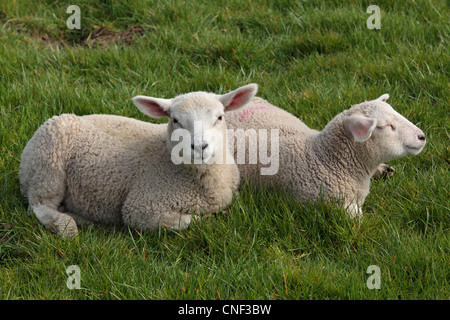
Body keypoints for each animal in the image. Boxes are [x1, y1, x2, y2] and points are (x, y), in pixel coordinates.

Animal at [19, 84, 258, 236]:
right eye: (175, 120)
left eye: (220, 117)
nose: (199, 147)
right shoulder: (141, 206)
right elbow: (183, 222)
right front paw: (210, 219)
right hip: (48, 163)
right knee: (39, 206)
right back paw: (67, 226)